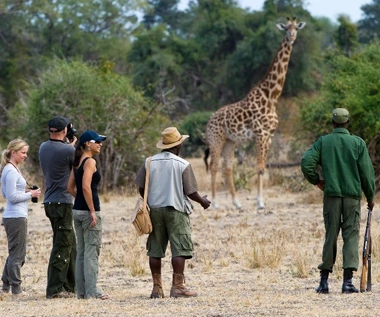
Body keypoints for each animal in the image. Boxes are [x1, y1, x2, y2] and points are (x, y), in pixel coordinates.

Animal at [205, 18, 306, 209]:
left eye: (296, 28)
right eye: (285, 28)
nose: (291, 37)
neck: (272, 96)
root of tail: (208, 121)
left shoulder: (270, 135)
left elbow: (263, 167)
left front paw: (260, 200)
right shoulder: (260, 134)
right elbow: (259, 167)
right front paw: (260, 203)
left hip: (230, 141)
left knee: (227, 167)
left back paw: (237, 203)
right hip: (216, 139)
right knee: (214, 166)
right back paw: (214, 203)